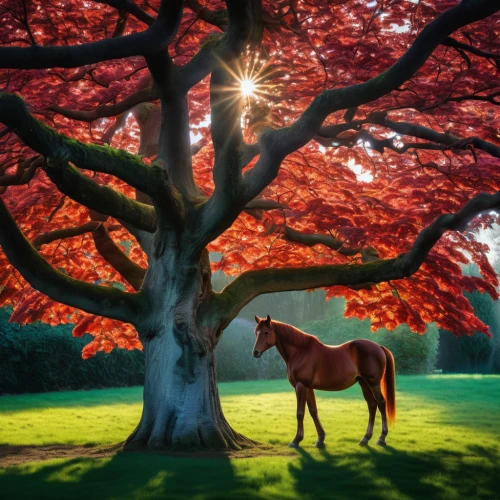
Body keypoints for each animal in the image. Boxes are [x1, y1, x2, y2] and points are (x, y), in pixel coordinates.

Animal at [252, 314, 396, 448]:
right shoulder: (308, 387)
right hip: (364, 383)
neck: (300, 352)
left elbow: (300, 412)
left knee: (381, 403)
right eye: (256, 332)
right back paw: (365, 438)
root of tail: (379, 347)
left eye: (266, 332)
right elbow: (313, 411)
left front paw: (296, 440)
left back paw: (381, 438)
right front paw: (320, 439)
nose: (255, 353)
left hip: (373, 383)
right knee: (372, 405)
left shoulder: (301, 386)